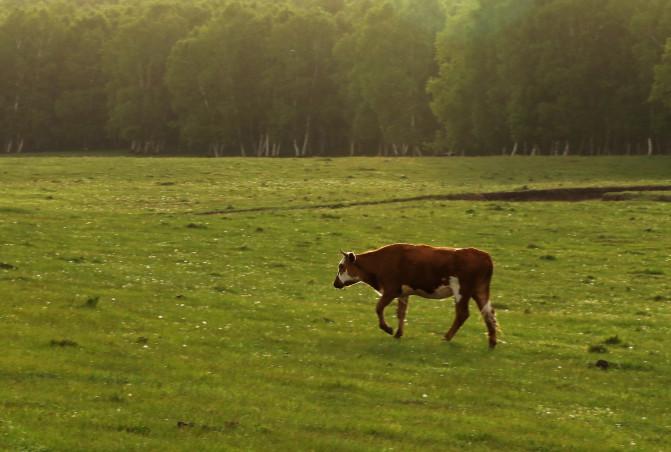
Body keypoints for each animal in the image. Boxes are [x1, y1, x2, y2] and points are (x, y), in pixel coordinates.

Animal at [332, 244, 496, 346]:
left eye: (341, 266)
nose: (335, 283)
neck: (381, 262)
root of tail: (484, 256)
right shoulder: (403, 293)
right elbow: (401, 313)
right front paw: (398, 334)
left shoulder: (391, 290)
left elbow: (378, 308)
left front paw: (388, 328)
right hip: (480, 291)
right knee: (488, 313)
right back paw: (492, 343)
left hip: (461, 291)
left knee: (462, 314)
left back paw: (446, 337)